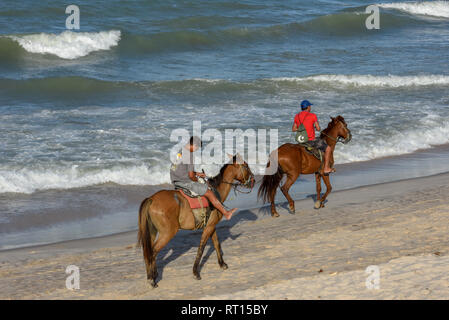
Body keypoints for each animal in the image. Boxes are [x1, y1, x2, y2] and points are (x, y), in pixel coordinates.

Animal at [136, 155, 254, 288]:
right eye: (246, 166)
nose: (253, 181)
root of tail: (151, 199)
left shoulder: (211, 226)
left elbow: (217, 244)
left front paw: (222, 264)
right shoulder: (209, 227)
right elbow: (201, 248)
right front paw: (195, 272)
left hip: (152, 232)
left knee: (147, 252)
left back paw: (152, 276)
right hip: (167, 233)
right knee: (153, 252)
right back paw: (152, 279)